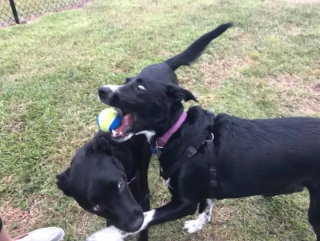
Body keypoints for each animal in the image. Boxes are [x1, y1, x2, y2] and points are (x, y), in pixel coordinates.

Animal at [87, 22, 320, 241]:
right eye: (126, 81)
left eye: (140, 88)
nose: (102, 90)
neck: (177, 131)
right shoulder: (207, 187)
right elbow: (206, 209)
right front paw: (197, 225)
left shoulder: (185, 202)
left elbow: (145, 217)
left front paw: (106, 234)